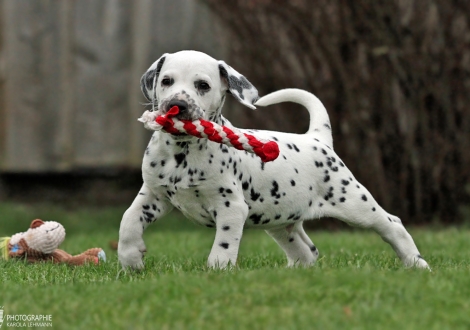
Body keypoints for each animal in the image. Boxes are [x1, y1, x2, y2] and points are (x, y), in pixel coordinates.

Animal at [118, 49, 430, 270]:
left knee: (391, 223)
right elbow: (129, 220)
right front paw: (131, 258)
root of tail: (317, 138)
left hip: (354, 203)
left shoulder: (231, 207)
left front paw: (218, 270)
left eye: (202, 85)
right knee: (306, 251)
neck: (182, 153)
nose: (177, 105)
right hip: (282, 224)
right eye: (166, 81)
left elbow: (224, 243)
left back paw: (416, 263)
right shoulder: (154, 196)